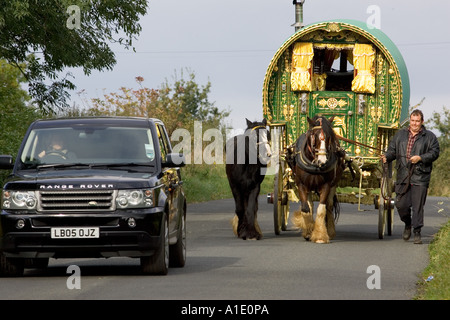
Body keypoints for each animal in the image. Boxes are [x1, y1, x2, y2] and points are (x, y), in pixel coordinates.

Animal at [286, 116, 346, 244]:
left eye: (329, 137)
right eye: (313, 135)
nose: (322, 161)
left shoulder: (326, 185)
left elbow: (322, 209)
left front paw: (319, 235)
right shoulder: (301, 184)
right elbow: (305, 209)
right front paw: (309, 231)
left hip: (334, 183)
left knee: (329, 206)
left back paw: (330, 231)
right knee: (310, 205)